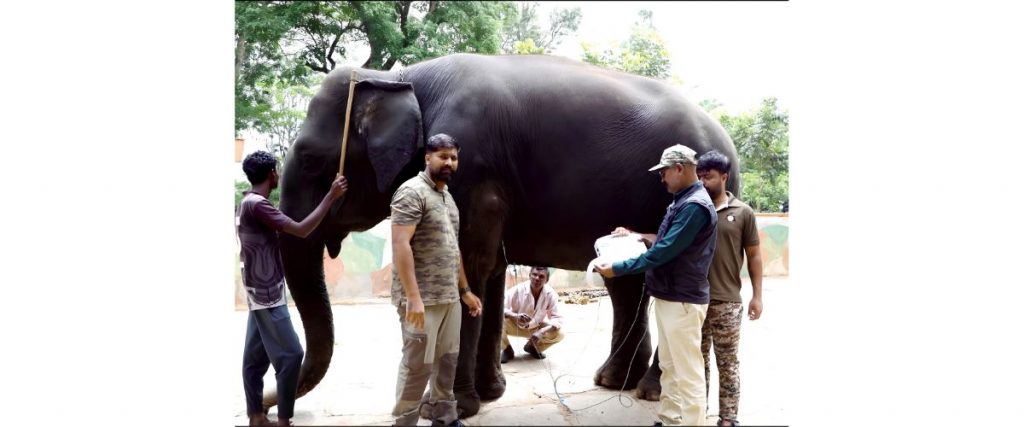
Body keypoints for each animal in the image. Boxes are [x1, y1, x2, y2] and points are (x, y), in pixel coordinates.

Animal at [269, 53, 740, 417]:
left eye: (309, 160)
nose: (274, 406)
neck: (399, 78)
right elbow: (489, 268)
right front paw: (490, 394)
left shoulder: (474, 169)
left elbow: (471, 260)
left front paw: (448, 408)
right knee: (628, 283)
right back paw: (613, 382)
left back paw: (654, 390)